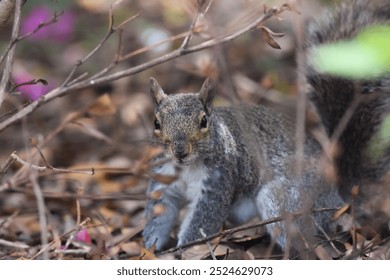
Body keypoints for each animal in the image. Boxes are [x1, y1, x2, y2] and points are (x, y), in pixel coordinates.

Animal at [142, 0, 390, 254]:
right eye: (156, 123)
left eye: (203, 121)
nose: (180, 152)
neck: (186, 168)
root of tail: (338, 200)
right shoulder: (163, 180)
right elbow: (159, 215)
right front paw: (149, 247)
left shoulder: (218, 182)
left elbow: (202, 222)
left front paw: (181, 251)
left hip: (286, 201)